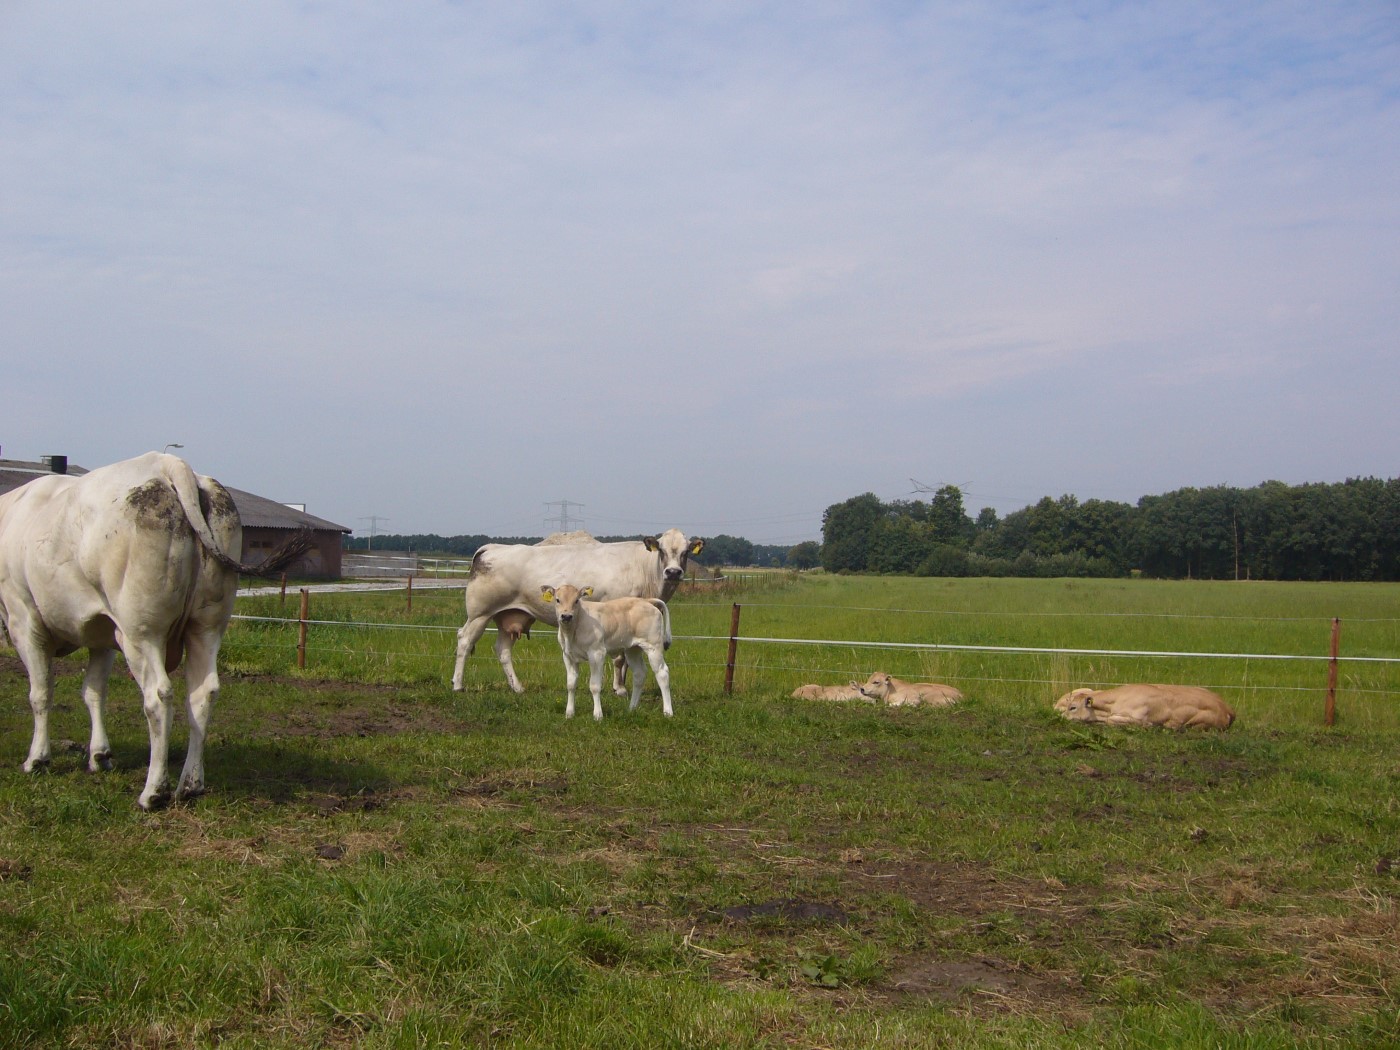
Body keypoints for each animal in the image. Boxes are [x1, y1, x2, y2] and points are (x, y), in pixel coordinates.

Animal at [0, 453, 243, 812]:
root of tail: (168, 462)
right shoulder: (101, 632)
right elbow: (93, 691)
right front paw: (99, 755)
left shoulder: (24, 619)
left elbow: (41, 693)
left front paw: (38, 759)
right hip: (207, 625)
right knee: (203, 692)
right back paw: (190, 785)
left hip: (140, 632)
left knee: (158, 695)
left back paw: (154, 791)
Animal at [453, 529, 705, 694]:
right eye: (661, 550)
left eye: (686, 552)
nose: (673, 572)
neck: (643, 569)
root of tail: (491, 547)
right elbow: (619, 658)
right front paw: (619, 688)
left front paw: (622, 685)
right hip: (479, 613)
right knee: (464, 641)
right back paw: (458, 685)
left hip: (508, 616)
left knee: (503, 650)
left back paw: (518, 687)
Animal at [540, 585, 672, 722]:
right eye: (557, 600)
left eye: (576, 600)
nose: (566, 616)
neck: (571, 633)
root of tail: (646, 601)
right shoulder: (568, 655)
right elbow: (571, 685)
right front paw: (569, 713)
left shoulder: (597, 653)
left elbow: (594, 685)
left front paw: (598, 715)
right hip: (633, 649)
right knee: (639, 674)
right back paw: (632, 708)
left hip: (653, 647)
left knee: (662, 673)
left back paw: (668, 712)